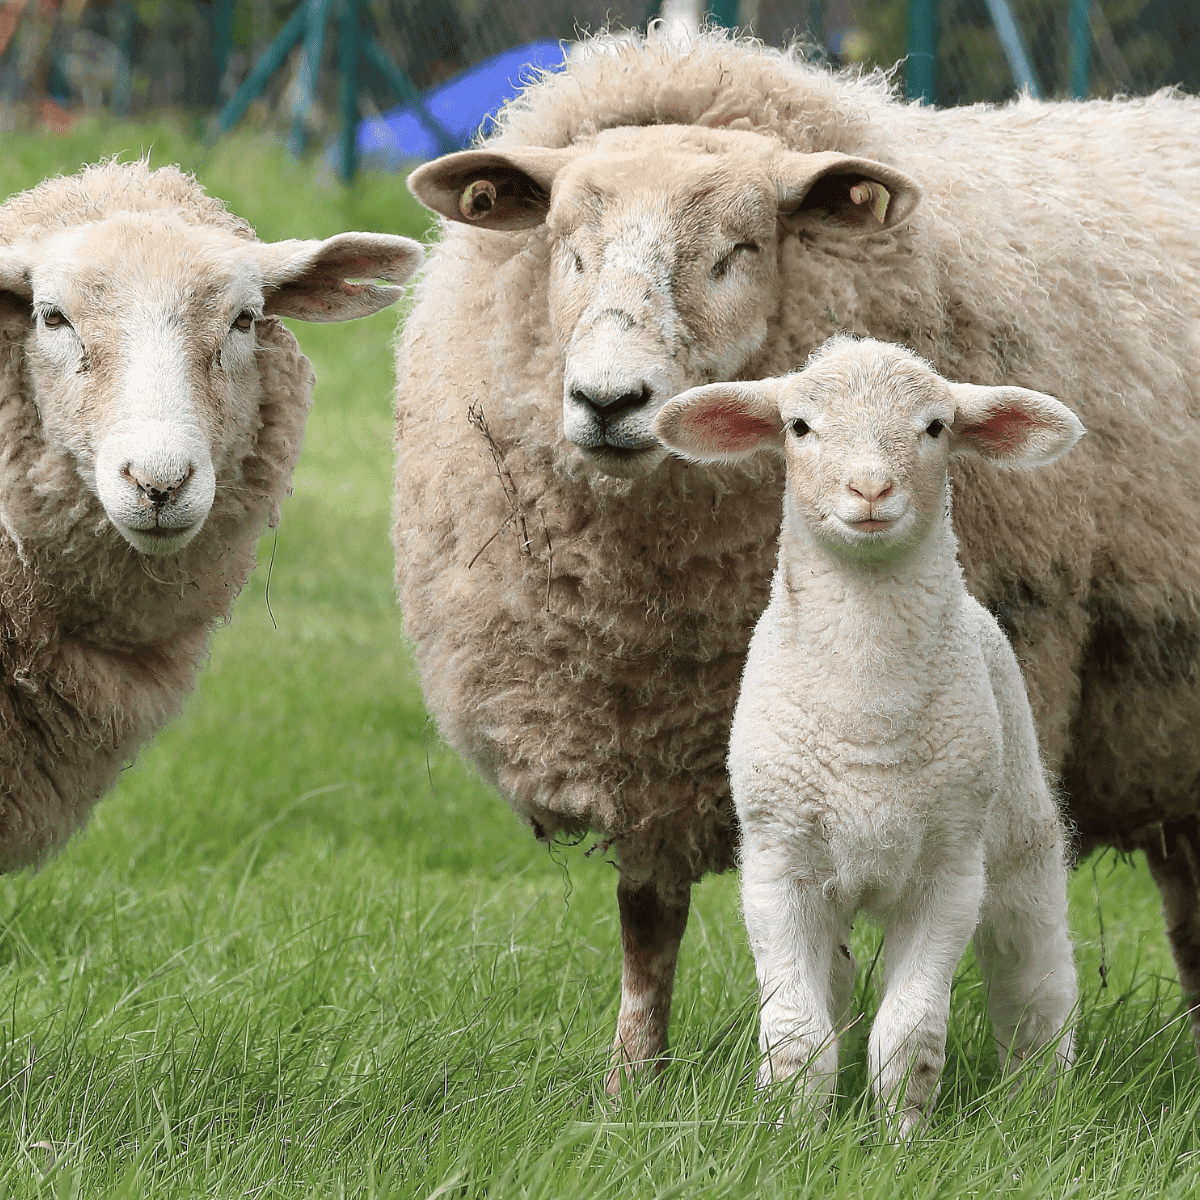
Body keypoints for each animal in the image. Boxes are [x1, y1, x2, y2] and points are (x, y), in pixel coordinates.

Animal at [653, 336, 1081, 1136]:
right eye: (798, 426)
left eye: (936, 427)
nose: (871, 490)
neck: (867, 722)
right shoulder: (778, 865)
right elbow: (797, 1036)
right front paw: (793, 1133)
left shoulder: (950, 872)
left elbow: (910, 1035)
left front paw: (902, 1140)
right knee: (839, 982)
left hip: (1019, 836)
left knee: (1035, 980)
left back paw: (1040, 1104)